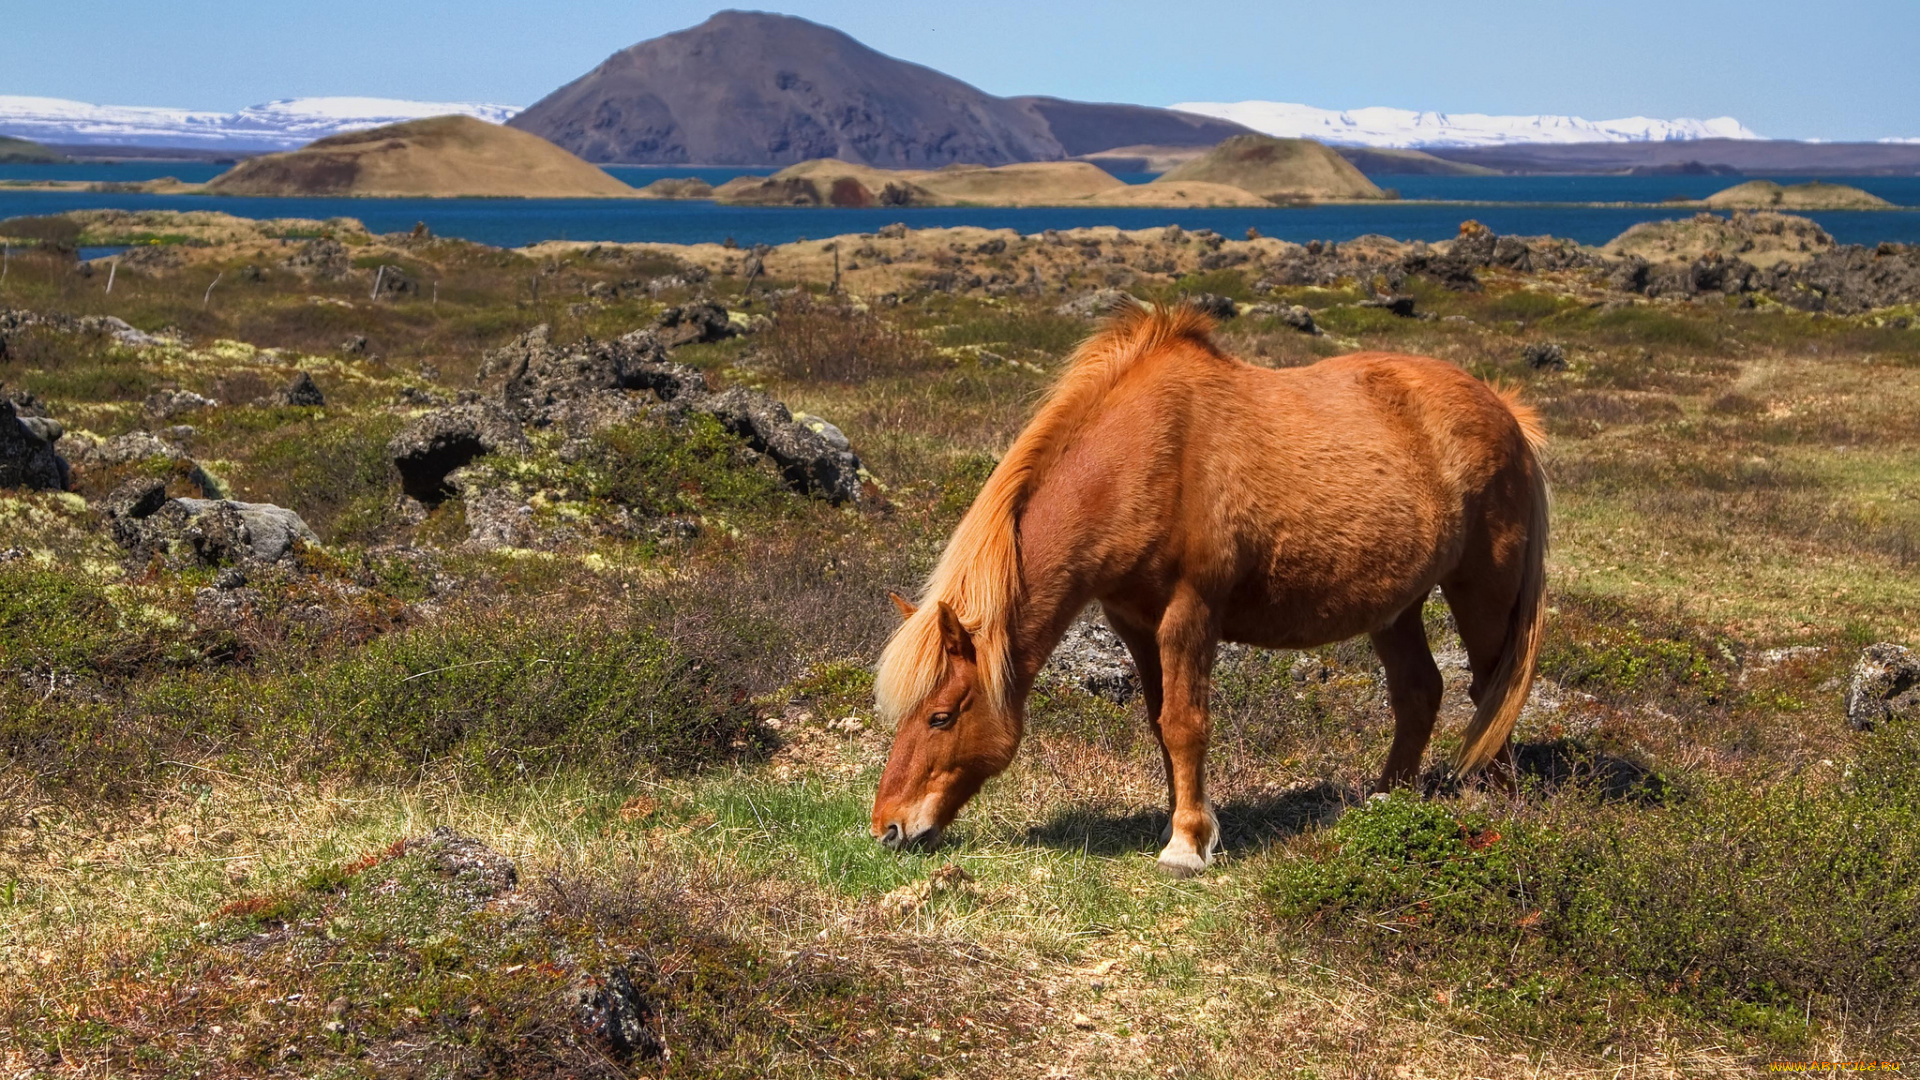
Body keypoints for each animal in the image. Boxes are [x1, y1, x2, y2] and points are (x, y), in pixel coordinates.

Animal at [871, 303, 1543, 876]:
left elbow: (1185, 723)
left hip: (1482, 589)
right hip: (1396, 607)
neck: (1145, 455)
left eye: (940, 716)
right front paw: (1184, 823)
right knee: (1419, 692)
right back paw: (1388, 800)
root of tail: (1506, 412)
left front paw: (1186, 845)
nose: (887, 829)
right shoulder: (1135, 624)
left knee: (1491, 686)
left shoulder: (1189, 614)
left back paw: (1501, 803)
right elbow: (1159, 723)